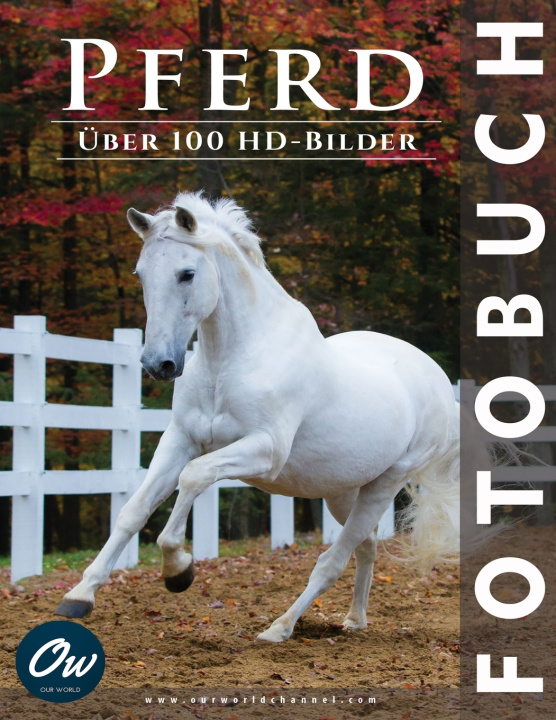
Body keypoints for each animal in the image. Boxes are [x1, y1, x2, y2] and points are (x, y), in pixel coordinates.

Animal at [54, 191, 460, 642]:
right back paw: (354, 620)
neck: (232, 359)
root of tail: (440, 382)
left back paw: (279, 628)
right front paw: (79, 596)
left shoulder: (265, 451)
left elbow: (192, 478)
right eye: (141, 274)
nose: (157, 364)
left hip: (384, 485)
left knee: (332, 561)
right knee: (366, 546)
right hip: (343, 490)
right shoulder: (180, 439)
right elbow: (133, 510)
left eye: (186, 273)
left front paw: (178, 570)